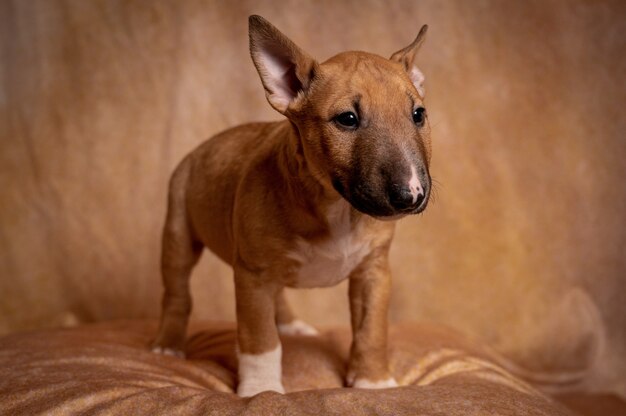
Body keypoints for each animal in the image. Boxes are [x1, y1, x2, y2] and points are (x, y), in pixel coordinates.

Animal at [154, 13, 432, 396]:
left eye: (418, 114)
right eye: (347, 119)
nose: (411, 194)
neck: (338, 208)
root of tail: (201, 149)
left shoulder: (373, 272)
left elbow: (371, 329)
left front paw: (373, 381)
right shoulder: (252, 276)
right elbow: (260, 338)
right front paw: (261, 388)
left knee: (279, 295)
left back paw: (292, 325)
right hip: (179, 231)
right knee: (177, 292)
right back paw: (169, 345)